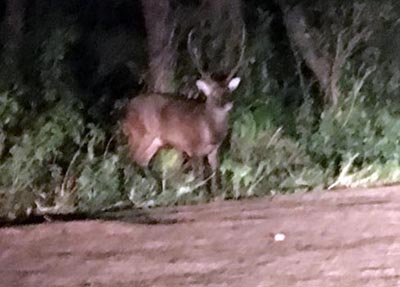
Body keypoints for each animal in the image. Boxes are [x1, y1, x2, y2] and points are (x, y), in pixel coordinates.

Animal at [123, 28, 245, 192]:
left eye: (228, 91)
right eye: (213, 94)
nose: (227, 104)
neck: (209, 131)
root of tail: (127, 111)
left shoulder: (214, 150)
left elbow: (215, 173)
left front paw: (217, 192)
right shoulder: (193, 148)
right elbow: (199, 176)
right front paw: (201, 193)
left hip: (154, 140)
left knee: (141, 160)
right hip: (139, 134)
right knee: (129, 159)